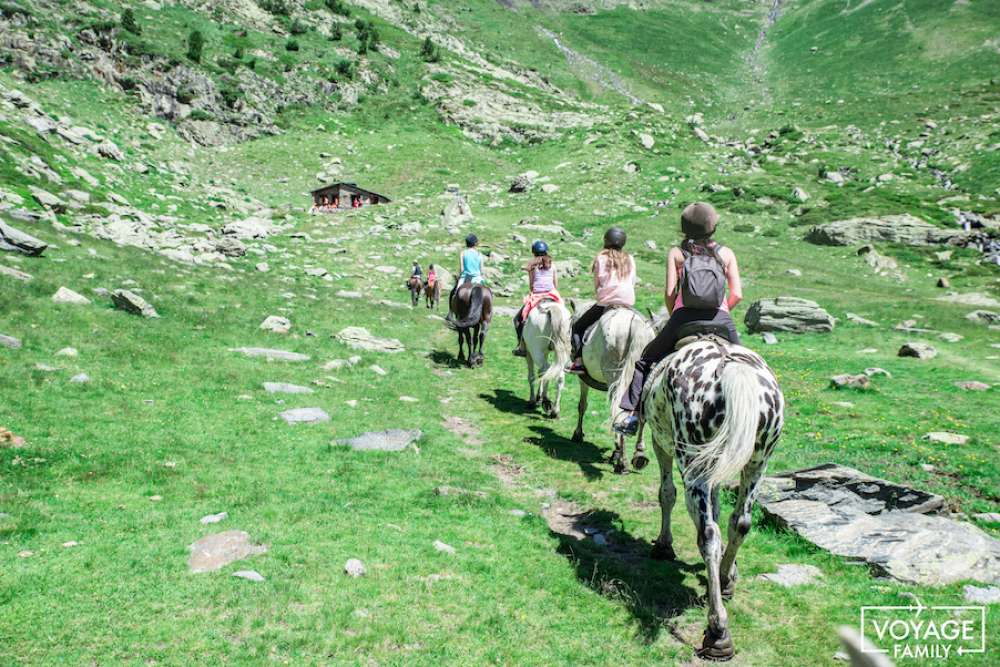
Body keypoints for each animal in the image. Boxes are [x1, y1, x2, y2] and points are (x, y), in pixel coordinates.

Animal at [572, 302, 656, 474]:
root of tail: (634, 325)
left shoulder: (583, 379)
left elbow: (582, 405)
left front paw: (577, 434)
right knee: (640, 415)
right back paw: (639, 454)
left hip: (615, 375)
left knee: (618, 409)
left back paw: (621, 461)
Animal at [640, 336, 788, 660]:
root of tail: (731, 368)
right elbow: (720, 509)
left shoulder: (661, 444)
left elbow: (666, 494)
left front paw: (664, 546)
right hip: (757, 462)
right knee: (740, 522)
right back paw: (725, 579)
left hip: (693, 463)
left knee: (708, 533)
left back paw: (718, 632)